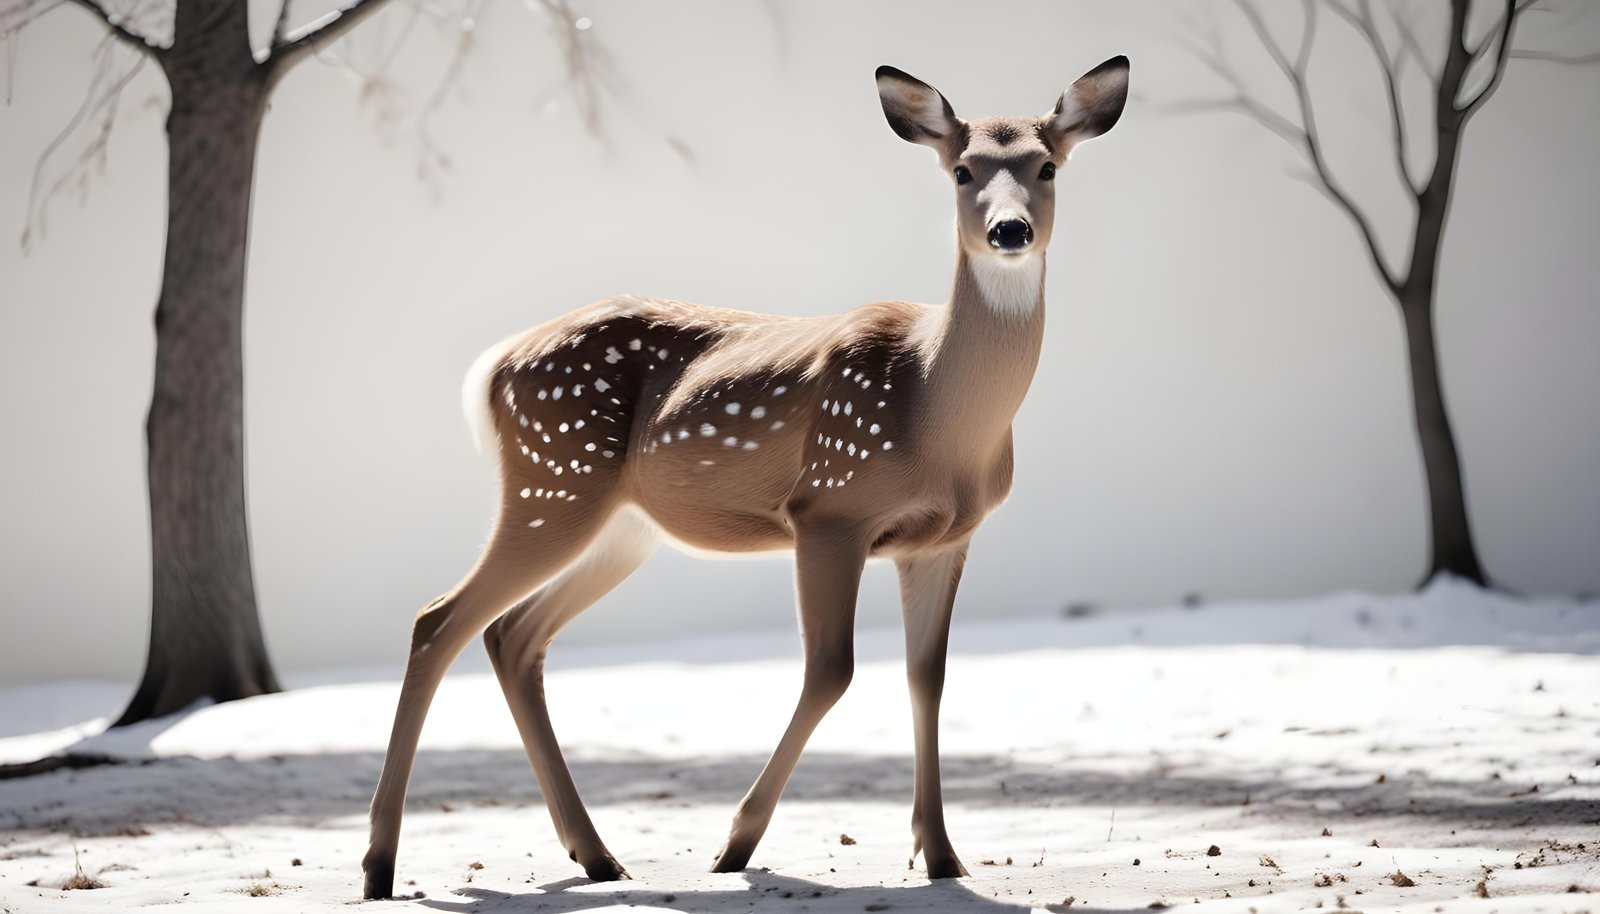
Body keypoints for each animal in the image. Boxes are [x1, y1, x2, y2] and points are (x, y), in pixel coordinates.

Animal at [361, 57, 1129, 900]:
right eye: (961, 170)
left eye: (1047, 166)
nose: (1009, 231)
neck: (934, 408)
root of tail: (495, 367)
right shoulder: (828, 508)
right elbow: (831, 669)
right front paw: (735, 844)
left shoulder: (944, 540)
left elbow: (927, 676)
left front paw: (942, 857)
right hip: (554, 480)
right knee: (439, 622)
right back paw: (380, 865)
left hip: (617, 526)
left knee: (512, 635)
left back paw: (594, 855)